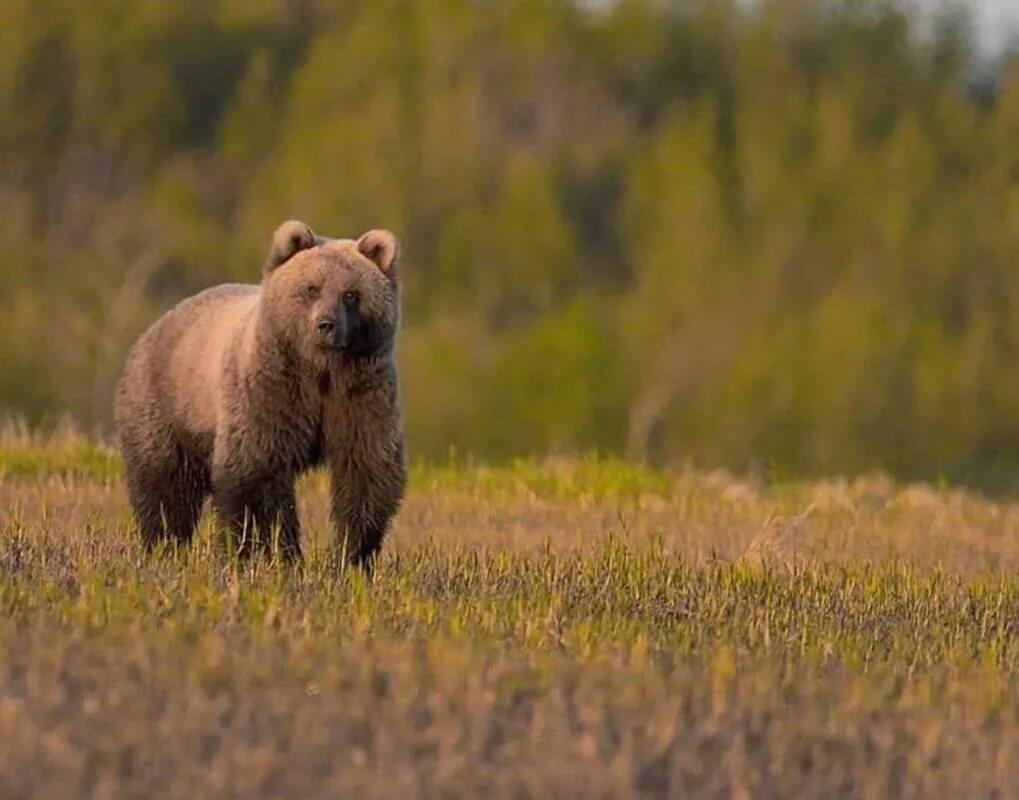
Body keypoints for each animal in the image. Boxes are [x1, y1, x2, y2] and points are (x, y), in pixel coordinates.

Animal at [114, 218, 405, 566]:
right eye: (312, 288)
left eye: (350, 294)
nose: (326, 324)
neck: (322, 371)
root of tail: (155, 326)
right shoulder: (270, 391)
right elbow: (256, 474)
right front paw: (273, 553)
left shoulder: (361, 395)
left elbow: (367, 469)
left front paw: (351, 554)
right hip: (168, 405)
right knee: (165, 484)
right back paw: (165, 545)